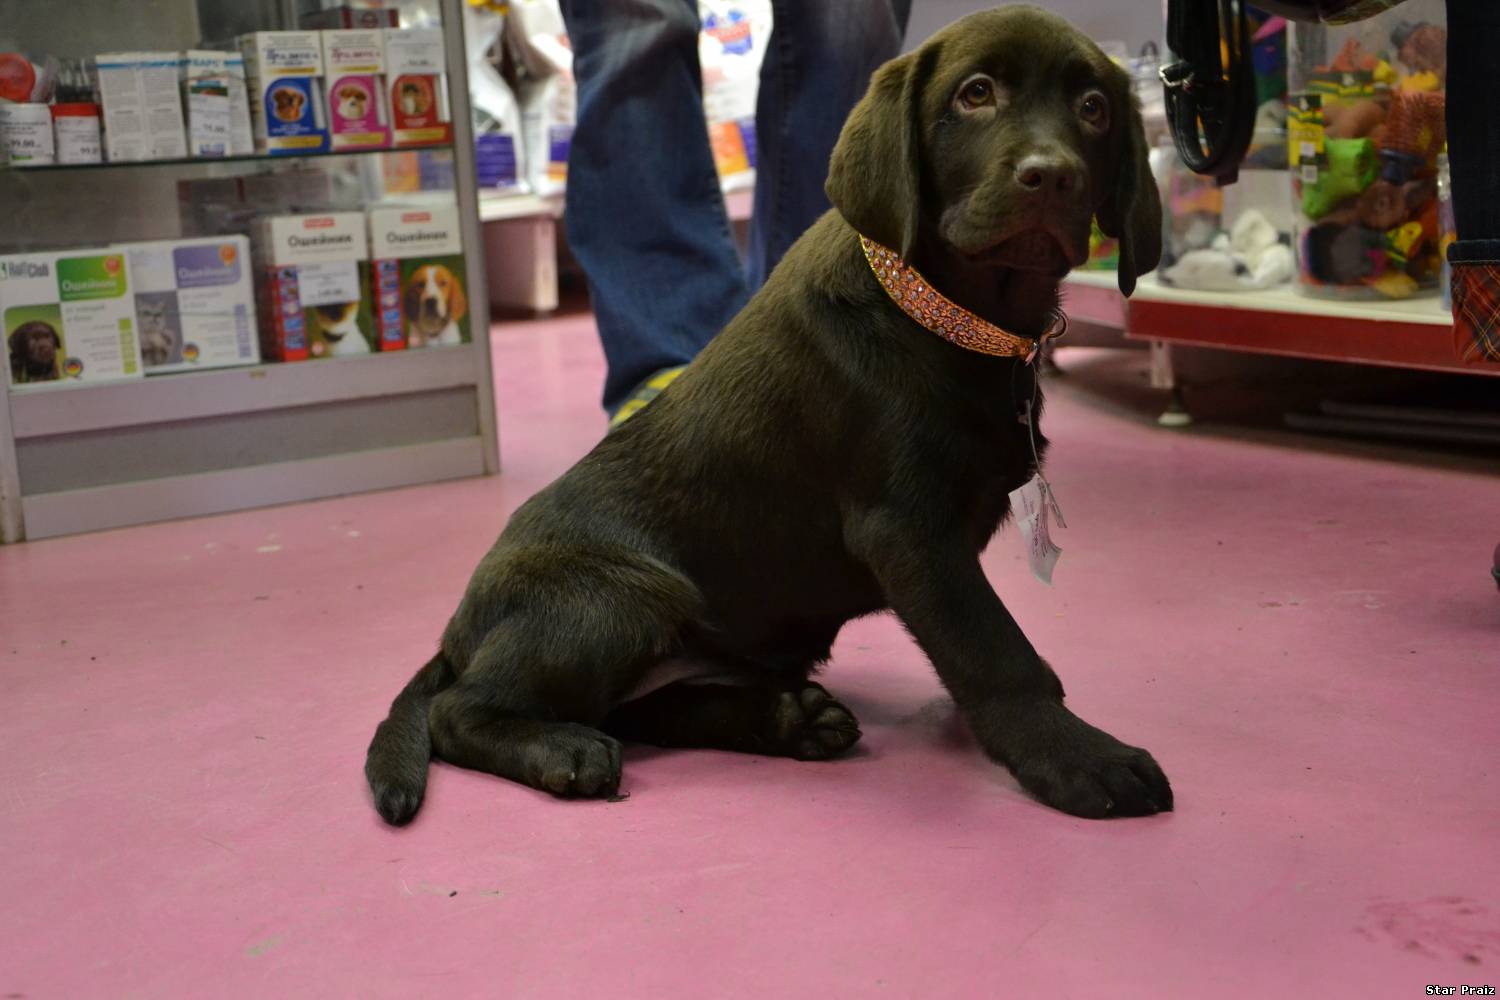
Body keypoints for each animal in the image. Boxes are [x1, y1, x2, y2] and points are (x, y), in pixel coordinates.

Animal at [366, 5, 1166, 825]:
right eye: (975, 93)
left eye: (1094, 109)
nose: (1052, 174)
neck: (953, 321)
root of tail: (457, 633)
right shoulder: (909, 532)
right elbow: (995, 650)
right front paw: (1075, 755)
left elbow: (984, 644)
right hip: (625, 596)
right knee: (462, 711)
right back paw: (566, 750)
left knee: (638, 709)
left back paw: (788, 720)